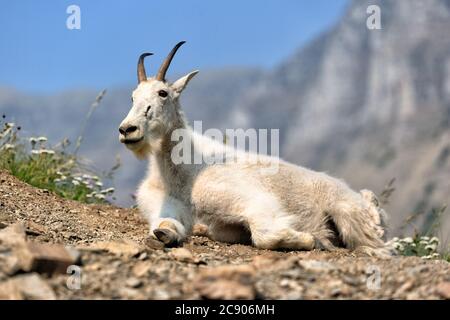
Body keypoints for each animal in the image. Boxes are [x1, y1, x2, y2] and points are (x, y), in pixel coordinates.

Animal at [119, 42, 386, 255]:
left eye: (162, 93)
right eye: (132, 97)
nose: (127, 130)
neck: (184, 172)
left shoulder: (252, 200)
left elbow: (265, 234)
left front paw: (314, 239)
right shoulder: (169, 209)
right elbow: (165, 227)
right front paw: (165, 236)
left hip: (347, 213)